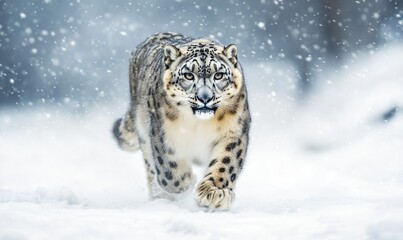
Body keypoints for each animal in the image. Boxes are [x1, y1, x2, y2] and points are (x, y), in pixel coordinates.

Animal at [113, 32, 251, 210]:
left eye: (218, 75)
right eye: (189, 75)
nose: (205, 97)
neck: (199, 124)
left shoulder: (233, 131)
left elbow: (226, 162)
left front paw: (213, 192)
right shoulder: (164, 133)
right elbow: (170, 170)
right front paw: (188, 182)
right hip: (144, 135)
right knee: (151, 168)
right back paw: (160, 197)